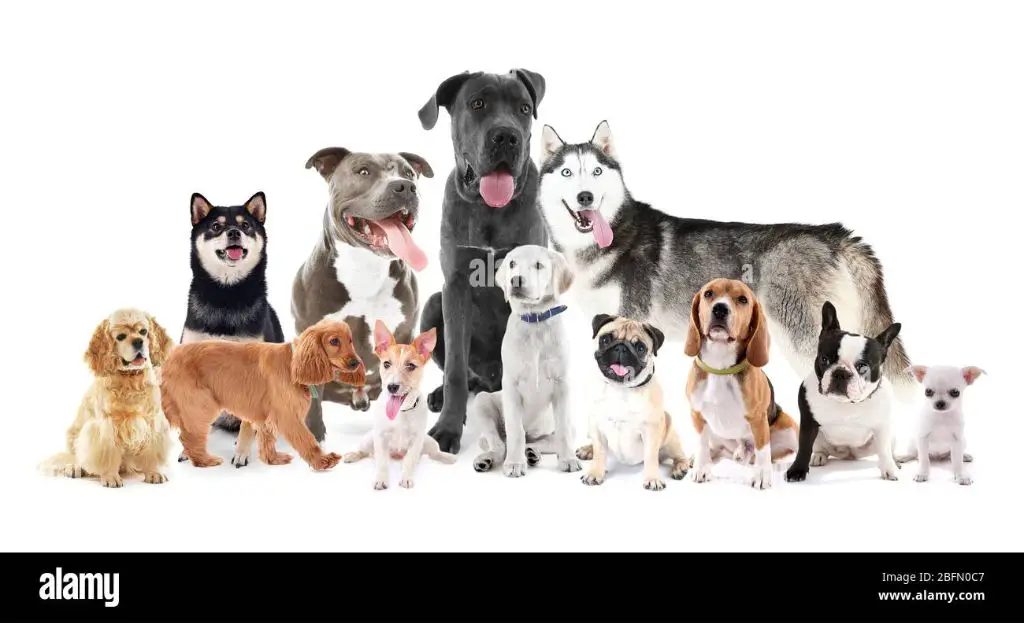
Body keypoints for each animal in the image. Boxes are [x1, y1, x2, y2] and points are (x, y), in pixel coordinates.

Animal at [39, 309, 175, 489]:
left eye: (143, 332)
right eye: (121, 336)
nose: (138, 342)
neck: (130, 380)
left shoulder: (153, 422)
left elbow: (152, 451)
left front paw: (153, 473)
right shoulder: (106, 426)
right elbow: (108, 453)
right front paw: (110, 477)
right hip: (74, 434)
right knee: (75, 456)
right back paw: (75, 467)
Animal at [159, 319, 368, 469]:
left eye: (350, 340)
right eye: (334, 341)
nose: (356, 362)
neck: (294, 363)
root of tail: (169, 359)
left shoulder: (267, 416)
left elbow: (267, 440)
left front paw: (273, 459)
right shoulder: (288, 416)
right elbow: (307, 441)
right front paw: (323, 461)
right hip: (201, 404)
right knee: (189, 436)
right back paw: (206, 461)